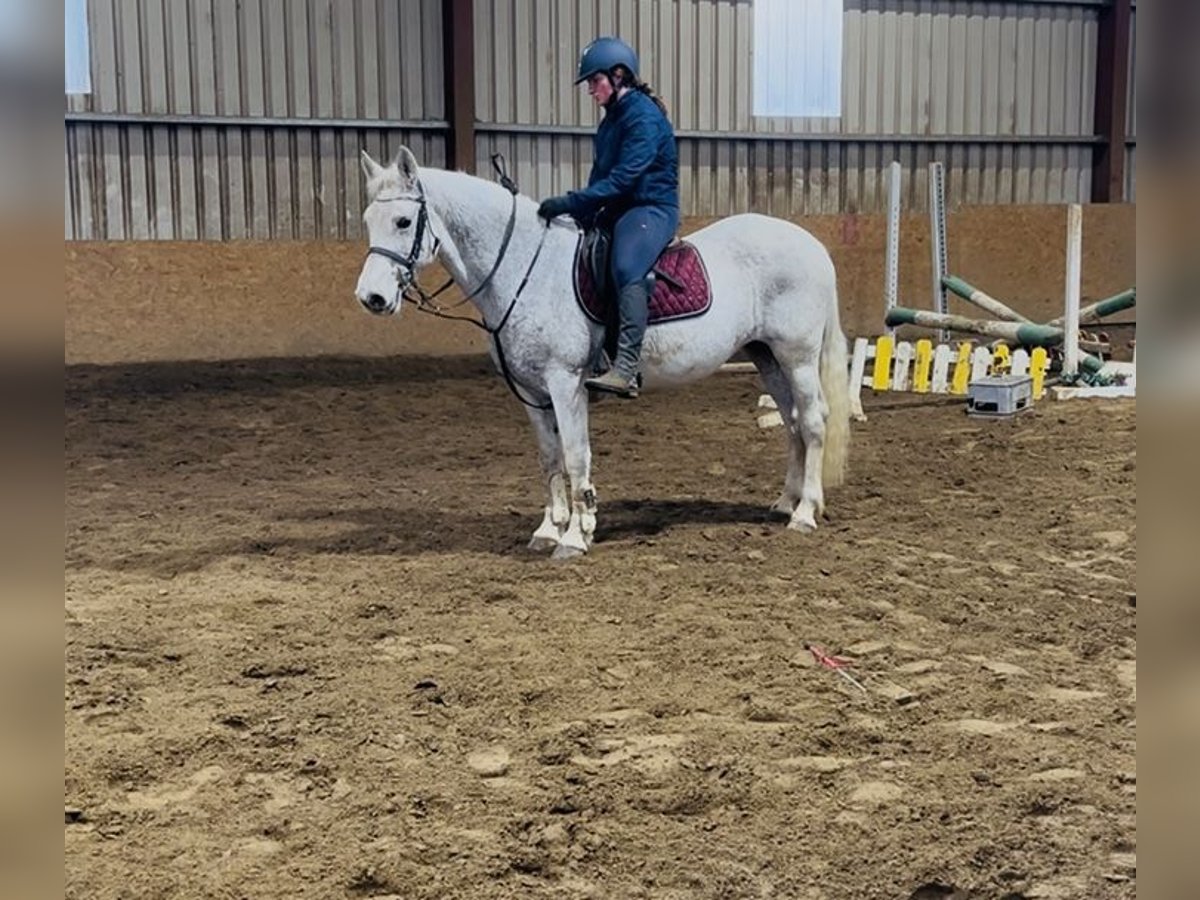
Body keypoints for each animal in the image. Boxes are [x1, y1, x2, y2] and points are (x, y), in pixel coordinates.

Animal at [354, 147, 851, 559]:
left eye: (403, 222)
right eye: (367, 221)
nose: (371, 298)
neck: (524, 269)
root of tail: (812, 244)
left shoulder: (565, 384)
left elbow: (577, 456)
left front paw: (575, 536)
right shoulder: (531, 393)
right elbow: (550, 458)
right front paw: (549, 530)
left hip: (797, 356)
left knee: (812, 422)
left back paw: (804, 513)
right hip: (766, 356)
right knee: (791, 423)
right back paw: (785, 502)